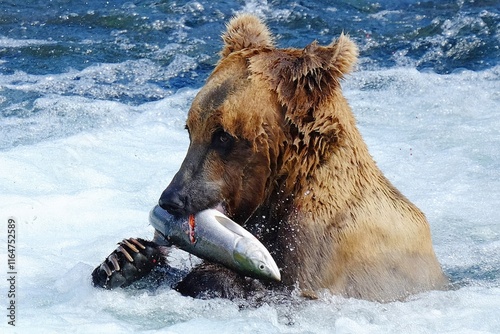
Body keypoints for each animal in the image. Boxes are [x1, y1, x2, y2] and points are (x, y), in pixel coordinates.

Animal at [92, 13, 448, 302]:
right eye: (190, 128)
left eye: (223, 135)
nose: (171, 199)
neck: (285, 189)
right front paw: (124, 258)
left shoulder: (327, 254)